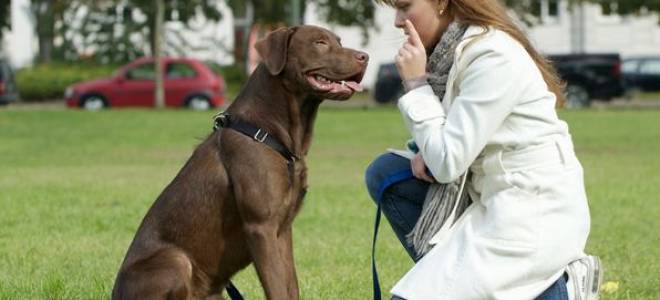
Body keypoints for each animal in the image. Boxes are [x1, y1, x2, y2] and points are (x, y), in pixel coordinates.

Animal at [113, 25, 368, 300]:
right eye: (319, 42)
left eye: (339, 41)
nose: (365, 56)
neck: (276, 135)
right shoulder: (261, 227)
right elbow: (277, 288)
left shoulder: (283, 229)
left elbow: (291, 285)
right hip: (176, 260)